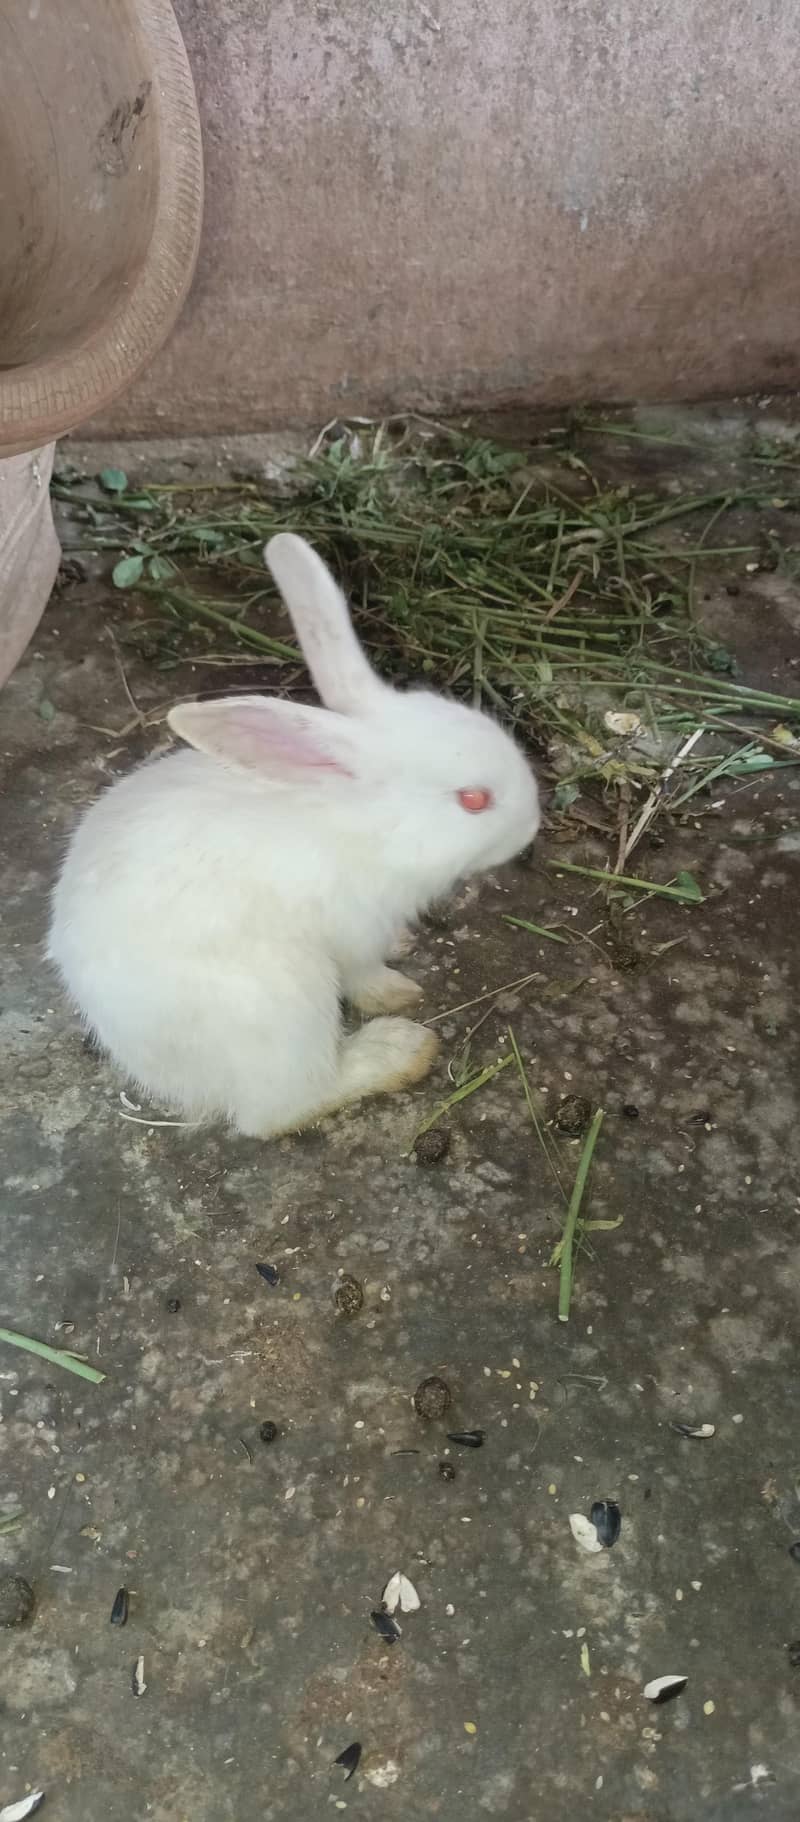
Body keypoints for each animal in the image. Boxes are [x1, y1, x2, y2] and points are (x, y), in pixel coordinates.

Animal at [47, 533, 540, 1138]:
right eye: (474, 800)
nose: (532, 827)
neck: (368, 828)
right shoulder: (354, 932)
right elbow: (364, 974)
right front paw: (397, 992)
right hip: (285, 1006)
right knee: (281, 1110)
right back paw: (400, 1051)